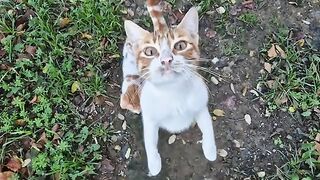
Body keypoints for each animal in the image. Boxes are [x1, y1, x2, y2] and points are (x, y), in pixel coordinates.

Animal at [122, 0, 218, 176]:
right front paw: (154, 164)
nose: (166, 59)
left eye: (180, 45)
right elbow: (150, 141)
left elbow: (208, 127)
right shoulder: (150, 117)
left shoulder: (201, 105)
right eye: (150, 51)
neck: (173, 92)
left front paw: (210, 150)